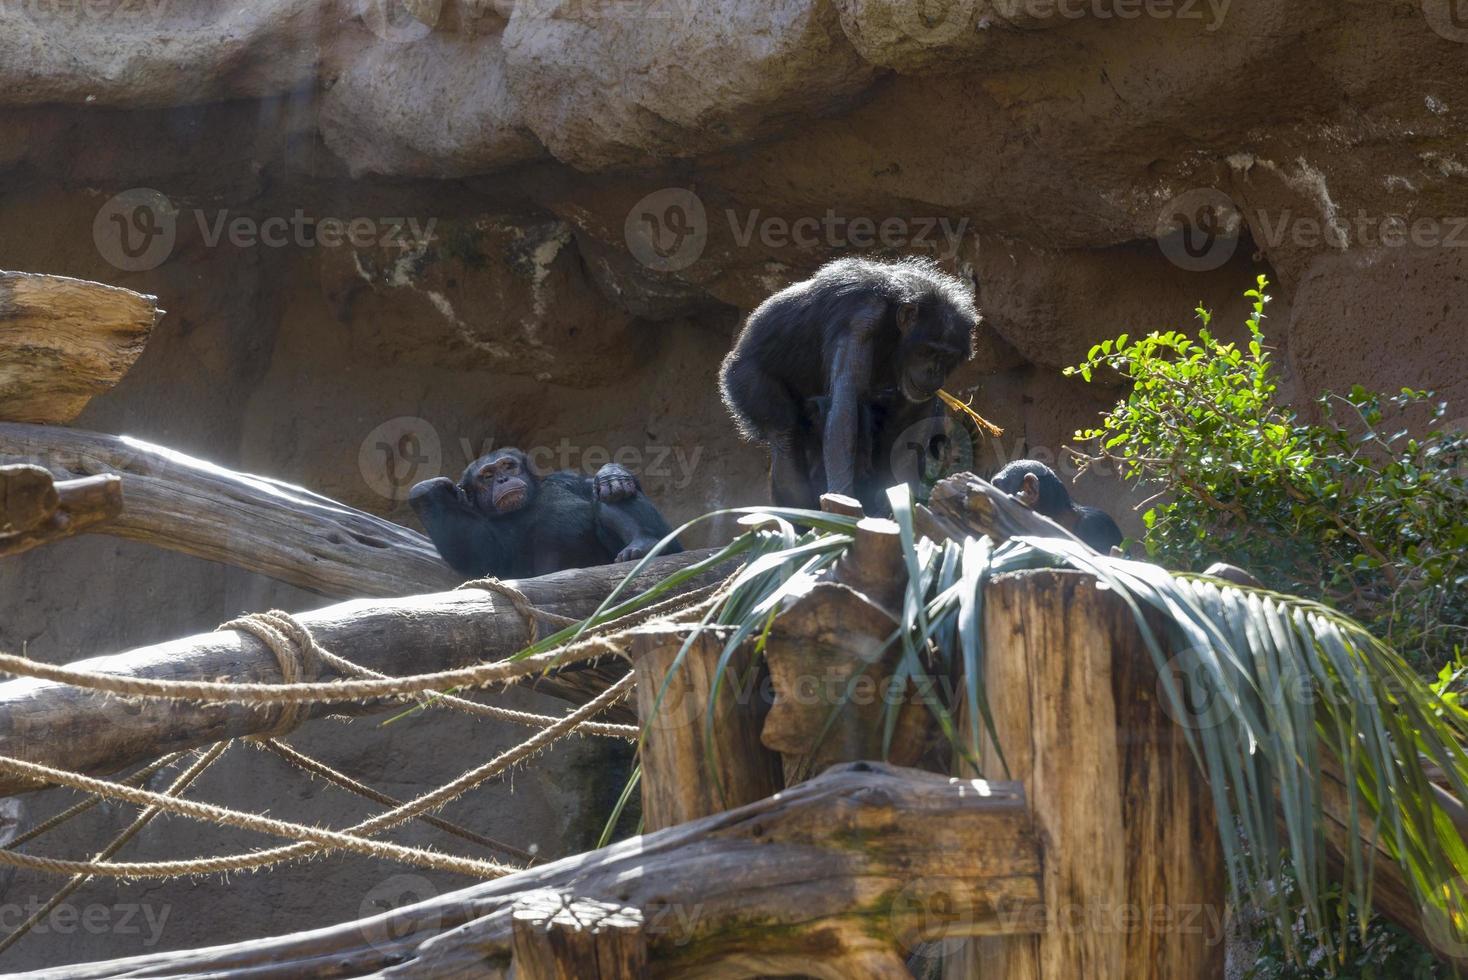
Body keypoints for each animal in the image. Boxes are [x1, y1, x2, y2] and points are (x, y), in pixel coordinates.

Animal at [402, 448, 675, 578]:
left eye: (508, 466)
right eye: (487, 476)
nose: (502, 479)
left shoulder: (566, 479)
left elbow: (591, 485)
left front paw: (612, 474)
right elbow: (480, 556)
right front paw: (428, 492)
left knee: (605, 495)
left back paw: (643, 542)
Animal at [719, 256, 980, 510]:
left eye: (947, 357)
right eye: (927, 351)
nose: (933, 370)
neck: (894, 325)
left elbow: (911, 417)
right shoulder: (860, 321)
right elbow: (844, 408)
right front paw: (842, 502)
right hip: (744, 377)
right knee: (785, 434)